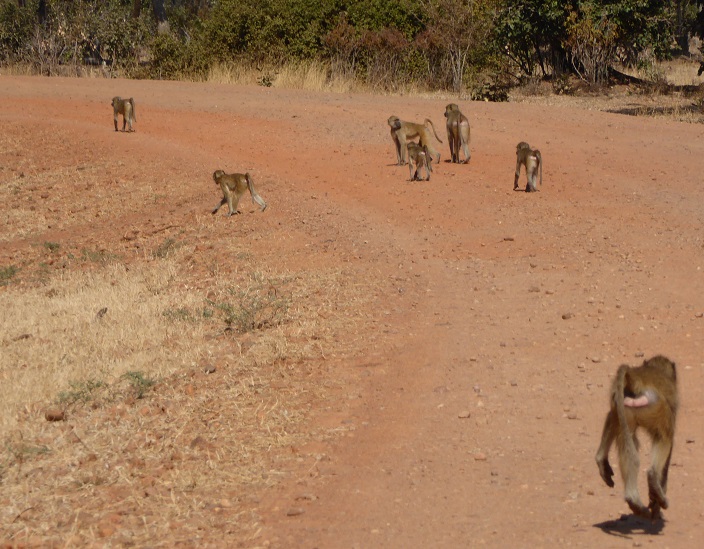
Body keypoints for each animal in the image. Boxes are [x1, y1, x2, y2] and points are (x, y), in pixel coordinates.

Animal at [595, 355, 678, 520]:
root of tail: (635, 379)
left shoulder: (617, 403)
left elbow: (611, 417)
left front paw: (601, 460)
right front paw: (656, 503)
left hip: (625, 406)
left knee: (627, 440)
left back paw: (633, 500)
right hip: (657, 408)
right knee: (664, 438)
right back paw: (653, 481)